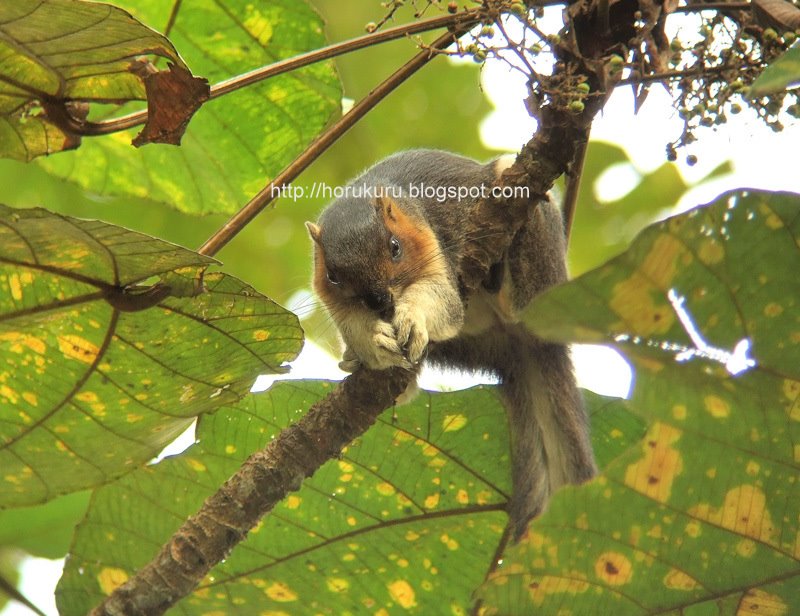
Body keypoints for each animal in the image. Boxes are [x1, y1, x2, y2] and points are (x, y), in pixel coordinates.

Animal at [306, 149, 596, 540]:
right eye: (332, 275)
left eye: (395, 247)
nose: (380, 301)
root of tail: (520, 347)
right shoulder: (338, 307)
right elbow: (355, 328)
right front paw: (372, 341)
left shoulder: (436, 251)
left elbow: (439, 299)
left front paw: (413, 317)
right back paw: (367, 368)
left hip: (540, 267)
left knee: (520, 302)